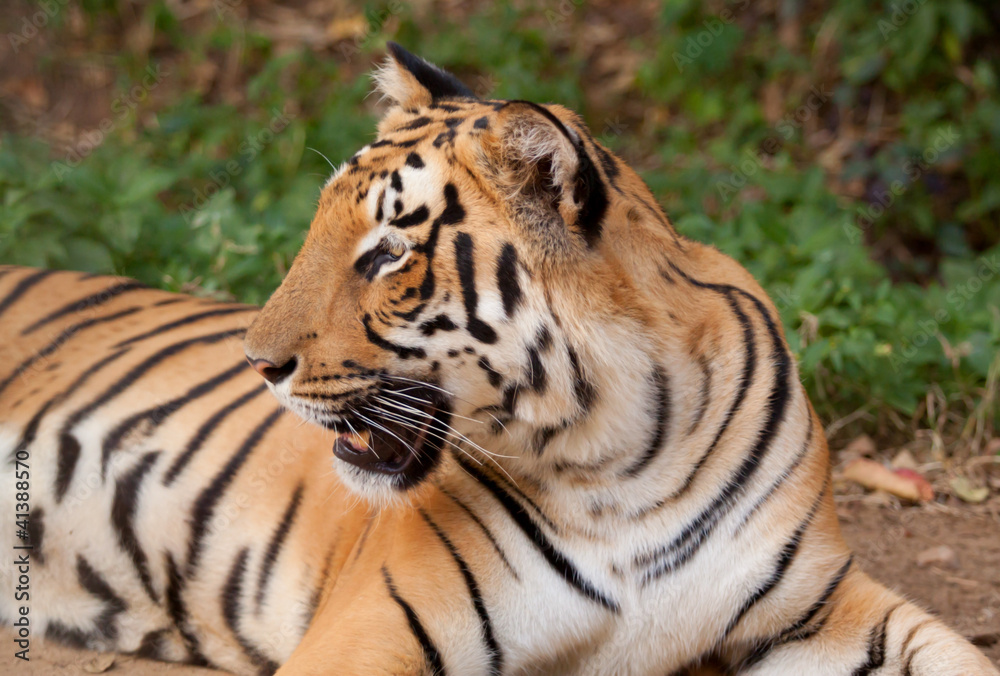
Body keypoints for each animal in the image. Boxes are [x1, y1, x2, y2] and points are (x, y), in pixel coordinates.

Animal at [0, 42, 996, 676]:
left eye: (387, 254)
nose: (258, 362)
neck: (620, 460)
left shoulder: (822, 607)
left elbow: (957, 654)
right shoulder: (373, 627)